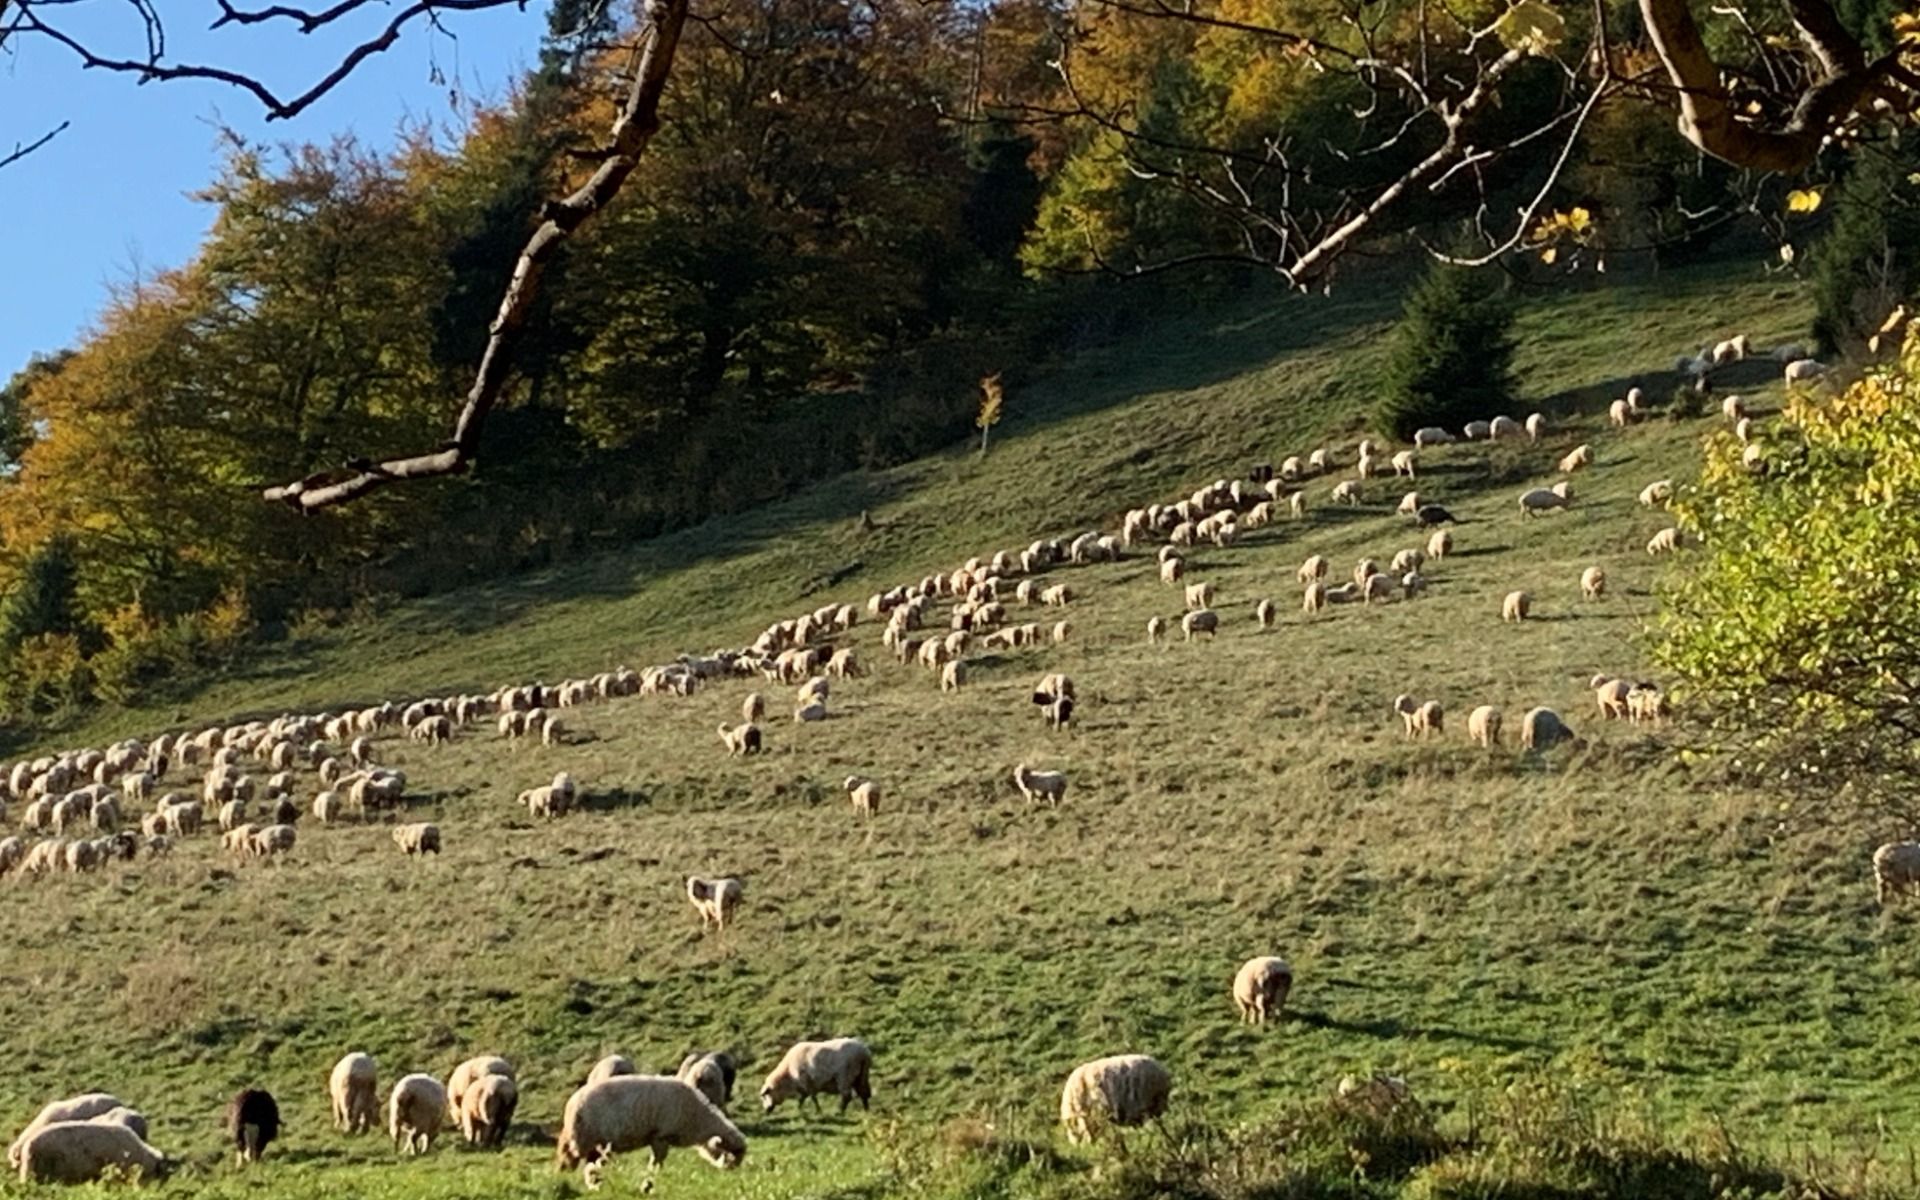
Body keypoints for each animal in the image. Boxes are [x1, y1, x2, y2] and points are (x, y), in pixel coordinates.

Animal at [556, 1075, 748, 1182]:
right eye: (732, 1156)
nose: (732, 1174)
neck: (697, 1118)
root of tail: (571, 1103)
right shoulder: (660, 1136)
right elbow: (658, 1160)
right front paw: (655, 1173)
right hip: (583, 1138)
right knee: (568, 1158)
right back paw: (564, 1175)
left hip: (595, 1144)